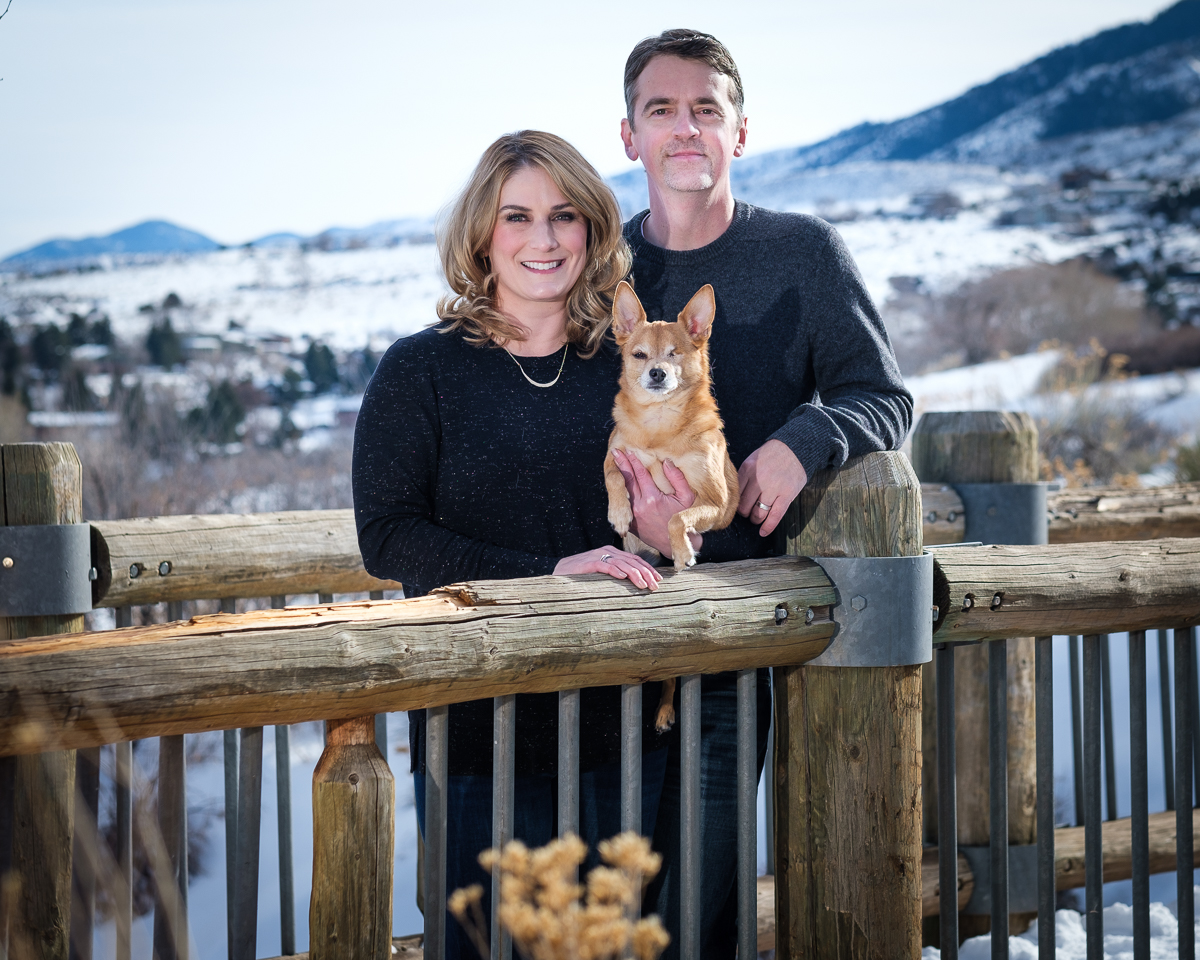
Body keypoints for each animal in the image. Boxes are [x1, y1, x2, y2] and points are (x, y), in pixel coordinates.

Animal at [604, 280, 734, 729]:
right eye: (639, 355)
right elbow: (614, 475)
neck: (660, 423)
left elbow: (678, 516)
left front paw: (681, 553)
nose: (656, 372)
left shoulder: (716, 503)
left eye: (675, 353)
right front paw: (620, 512)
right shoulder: (615, 455)